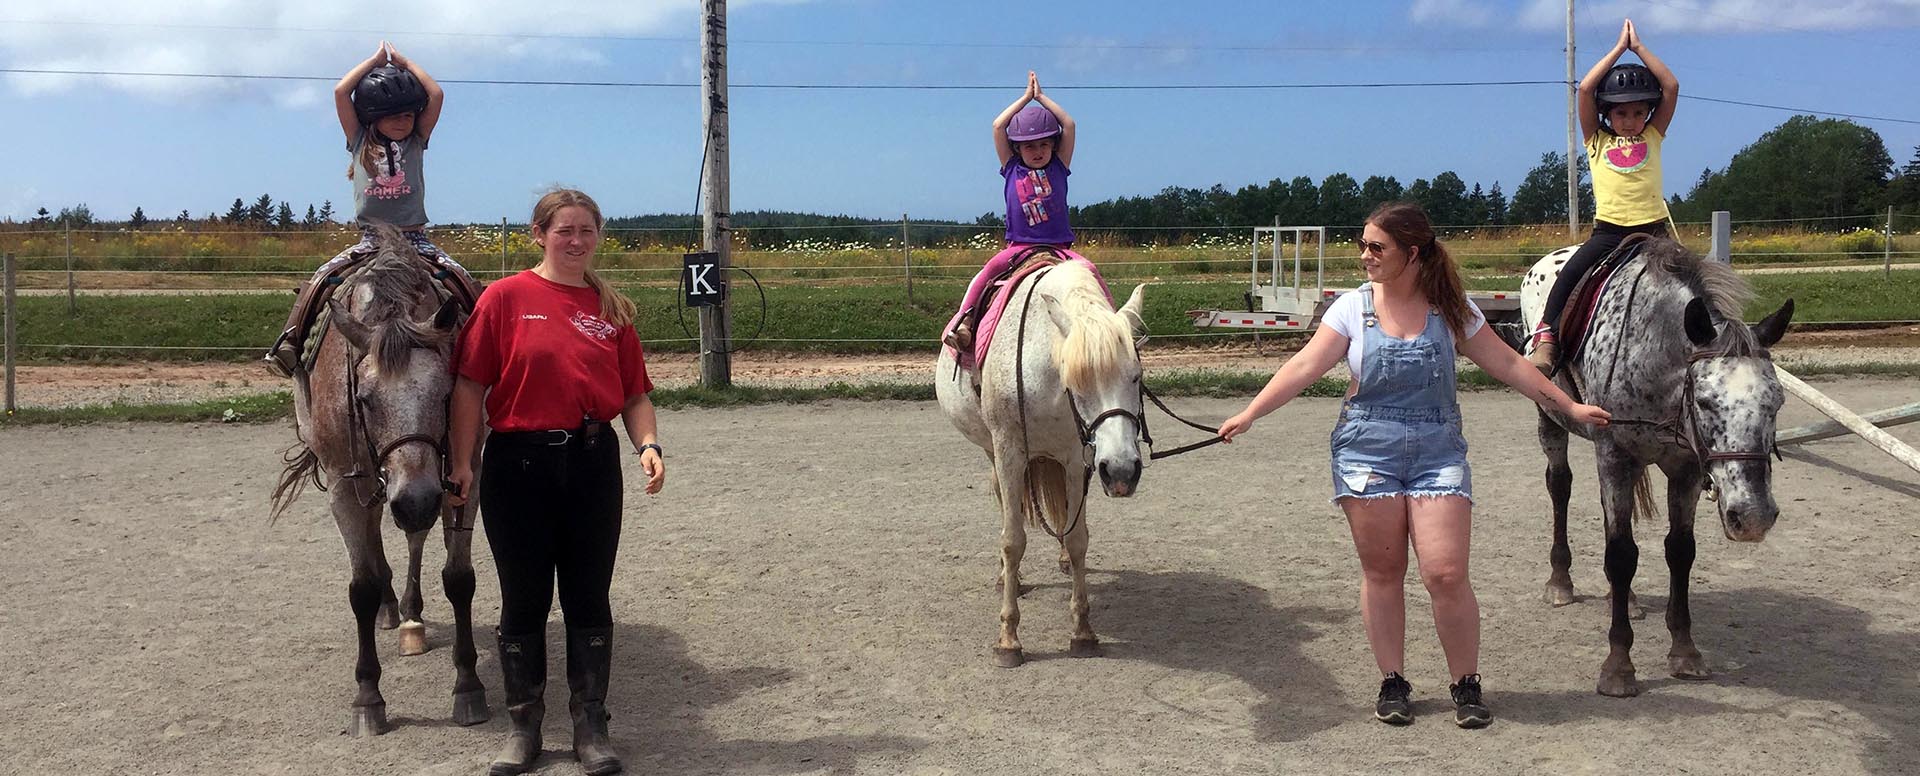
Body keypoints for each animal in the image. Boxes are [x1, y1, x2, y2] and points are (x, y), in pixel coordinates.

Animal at [270, 227, 487, 737]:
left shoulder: (462, 477)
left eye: (446, 394)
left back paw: (411, 615)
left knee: (413, 538)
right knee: (376, 541)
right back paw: (393, 609)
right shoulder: (345, 488)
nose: (417, 501)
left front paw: (468, 686)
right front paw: (368, 697)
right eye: (365, 399)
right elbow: (362, 587)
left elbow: (459, 578)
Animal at [936, 261, 1144, 668]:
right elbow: (1013, 540)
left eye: (1135, 376)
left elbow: (1078, 539)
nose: (1122, 472)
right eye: (1077, 381)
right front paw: (1008, 639)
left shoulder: (1078, 458)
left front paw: (1082, 631)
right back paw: (1008, 578)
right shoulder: (1008, 452)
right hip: (994, 452)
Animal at [1520, 235, 1789, 695]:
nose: (1752, 516)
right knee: (1560, 486)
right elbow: (1621, 554)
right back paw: (1560, 583)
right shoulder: (1614, 454)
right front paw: (1618, 666)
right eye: (1706, 401)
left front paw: (1685, 651)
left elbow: (1679, 551)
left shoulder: (1685, 468)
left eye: (1777, 402)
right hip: (1551, 422)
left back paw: (1624, 599)